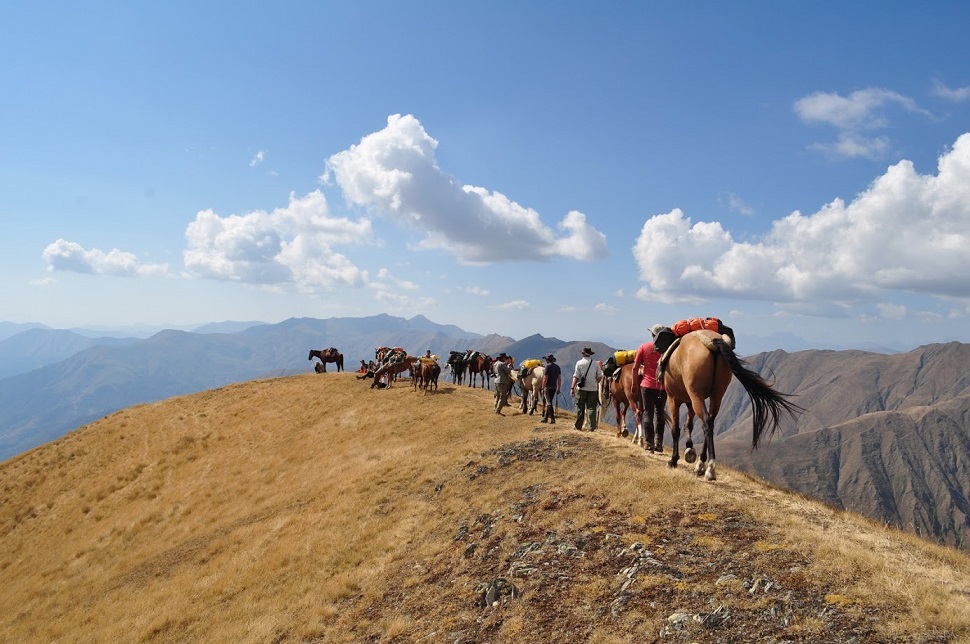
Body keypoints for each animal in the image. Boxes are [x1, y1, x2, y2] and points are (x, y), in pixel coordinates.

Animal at [660, 332, 796, 478]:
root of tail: (713, 341)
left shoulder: (673, 398)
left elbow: (676, 429)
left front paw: (673, 460)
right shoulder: (689, 401)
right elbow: (688, 425)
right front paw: (689, 449)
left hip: (696, 394)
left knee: (706, 422)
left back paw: (709, 468)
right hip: (716, 395)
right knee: (710, 421)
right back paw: (702, 464)